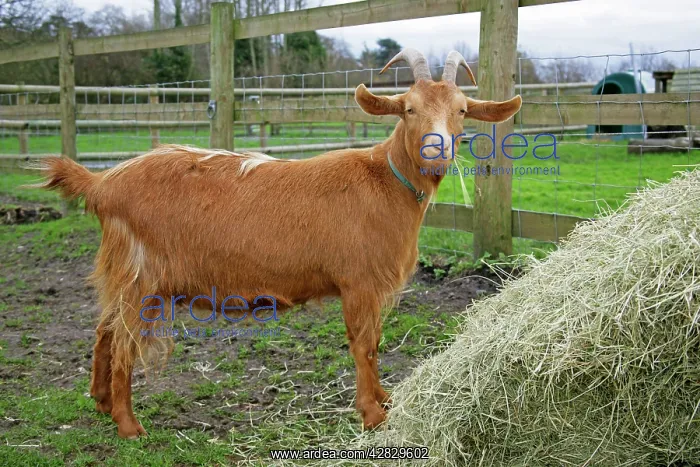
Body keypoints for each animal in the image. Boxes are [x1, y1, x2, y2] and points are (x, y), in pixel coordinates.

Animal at [36, 48, 521, 439]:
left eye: (462, 110)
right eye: (408, 109)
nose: (438, 152)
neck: (384, 181)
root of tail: (103, 183)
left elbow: (376, 342)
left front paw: (384, 399)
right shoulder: (358, 282)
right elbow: (363, 345)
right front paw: (372, 415)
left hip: (124, 273)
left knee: (103, 330)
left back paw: (101, 403)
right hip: (141, 274)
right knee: (122, 343)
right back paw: (128, 425)